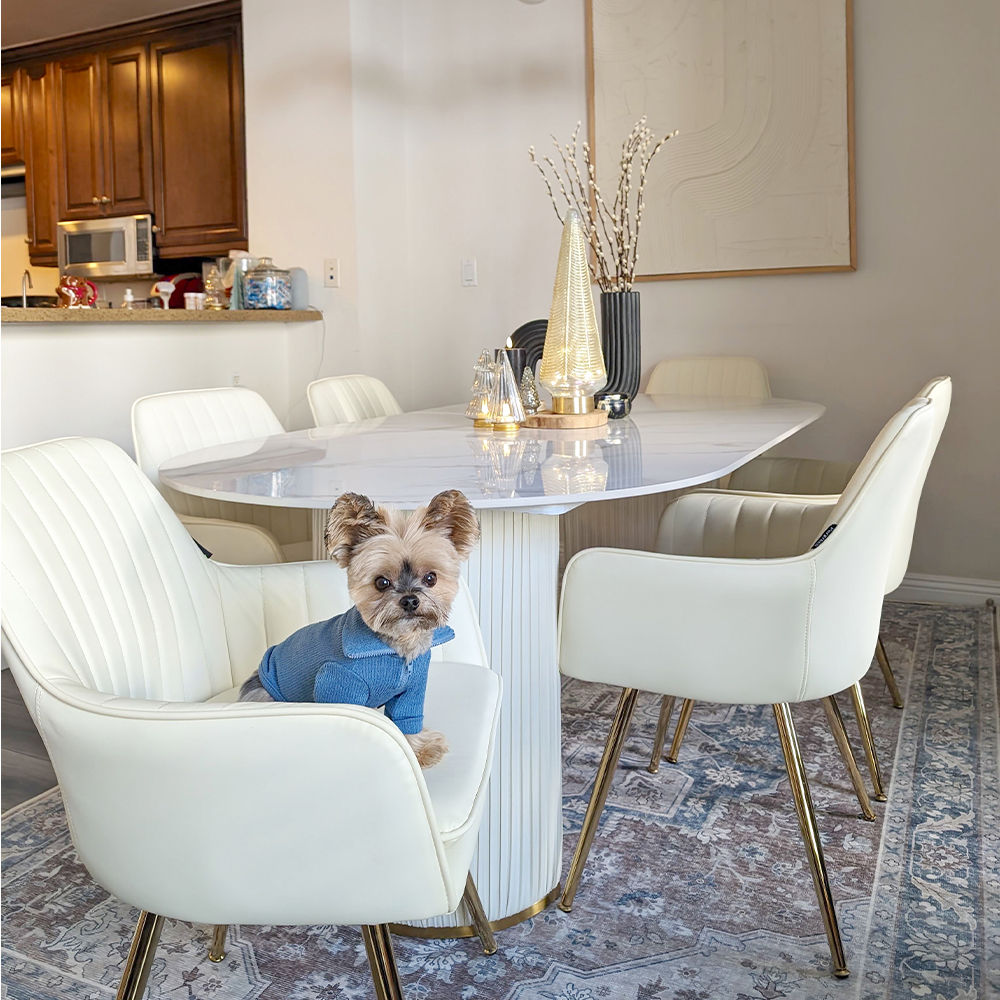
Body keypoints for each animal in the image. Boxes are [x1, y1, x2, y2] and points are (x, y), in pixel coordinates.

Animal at [240, 490, 478, 764]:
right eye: (381, 582)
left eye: (431, 578)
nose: (410, 600)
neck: (395, 647)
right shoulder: (338, 685)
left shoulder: (413, 689)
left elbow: (406, 718)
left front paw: (418, 749)